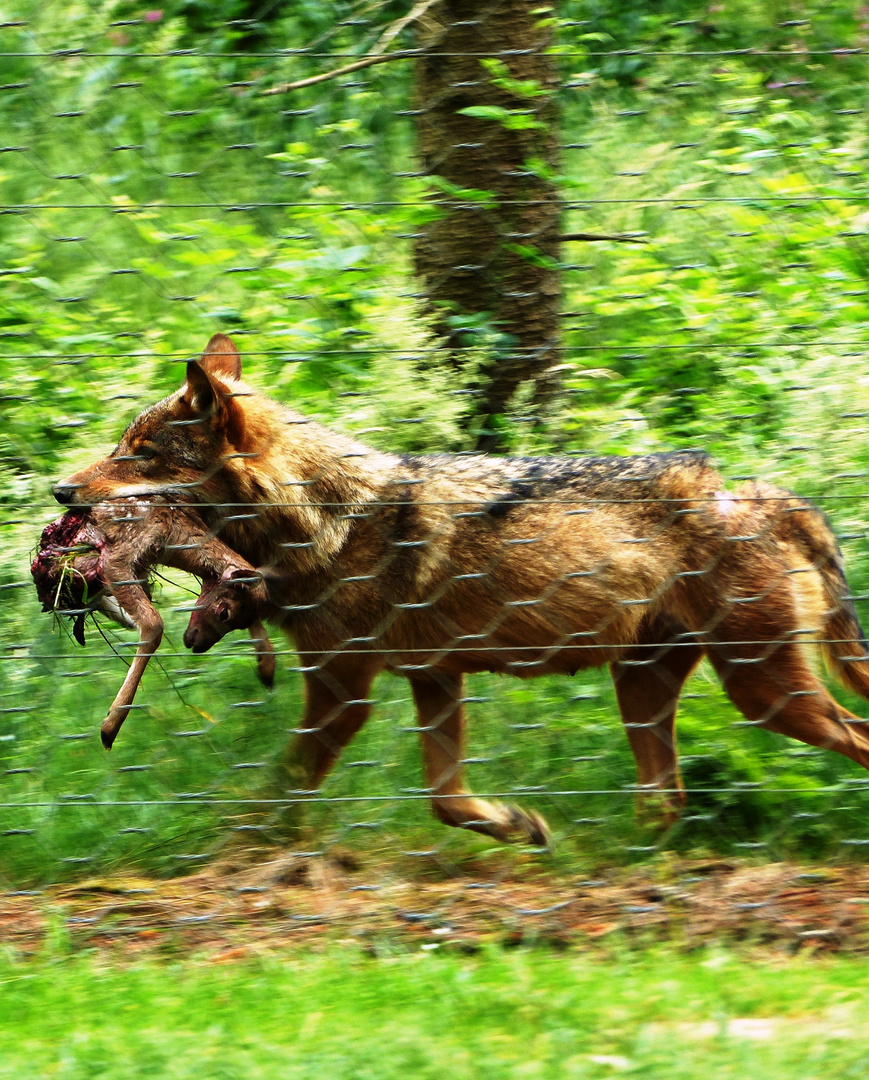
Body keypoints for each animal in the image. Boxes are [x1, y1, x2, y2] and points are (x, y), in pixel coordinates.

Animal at [52, 332, 867, 846]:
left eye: (139, 456)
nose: (61, 492)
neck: (321, 520)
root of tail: (764, 493)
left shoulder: (344, 693)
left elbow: (281, 787)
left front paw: (244, 846)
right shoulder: (435, 680)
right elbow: (445, 800)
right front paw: (519, 827)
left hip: (765, 696)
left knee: (846, 738)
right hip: (647, 690)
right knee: (667, 802)